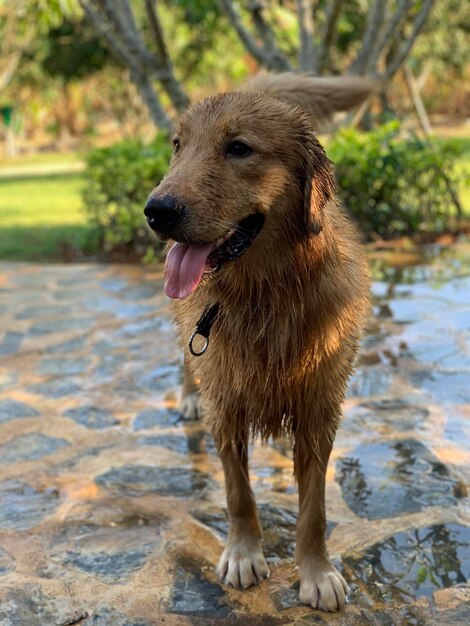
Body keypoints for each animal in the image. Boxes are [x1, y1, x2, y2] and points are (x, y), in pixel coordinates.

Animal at [143, 74, 370, 608]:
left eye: (239, 148)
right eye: (178, 146)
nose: (156, 211)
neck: (265, 295)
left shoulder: (319, 408)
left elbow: (314, 510)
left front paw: (316, 571)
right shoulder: (225, 405)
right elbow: (238, 494)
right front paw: (244, 553)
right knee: (185, 357)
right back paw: (187, 395)